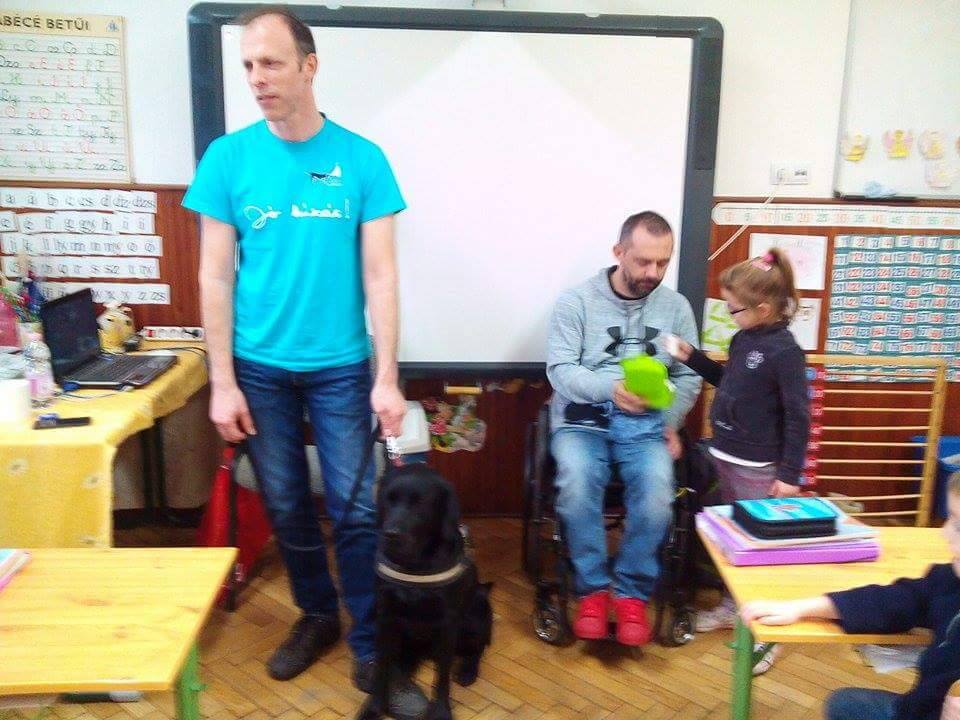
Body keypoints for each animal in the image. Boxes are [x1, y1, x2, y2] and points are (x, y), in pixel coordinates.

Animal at [356, 463, 493, 720]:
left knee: (477, 648)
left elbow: (442, 677)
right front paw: (373, 707)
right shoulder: (385, 616)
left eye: (421, 502)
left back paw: (467, 670)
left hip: (476, 613)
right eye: (388, 499)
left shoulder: (448, 623)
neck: (415, 565)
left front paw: (440, 710)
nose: (391, 534)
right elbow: (381, 668)